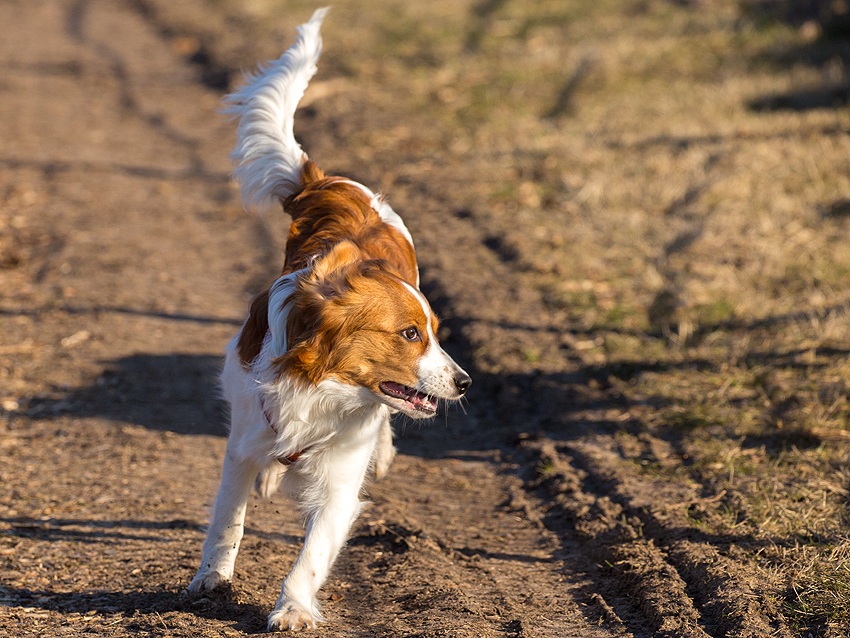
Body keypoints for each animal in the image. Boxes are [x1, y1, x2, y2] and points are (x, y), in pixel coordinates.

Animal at [186, 10, 474, 636]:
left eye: (435, 332)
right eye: (410, 334)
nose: (466, 383)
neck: (317, 386)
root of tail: (335, 187)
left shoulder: (341, 480)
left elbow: (313, 553)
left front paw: (292, 607)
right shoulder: (243, 439)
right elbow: (226, 518)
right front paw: (211, 579)